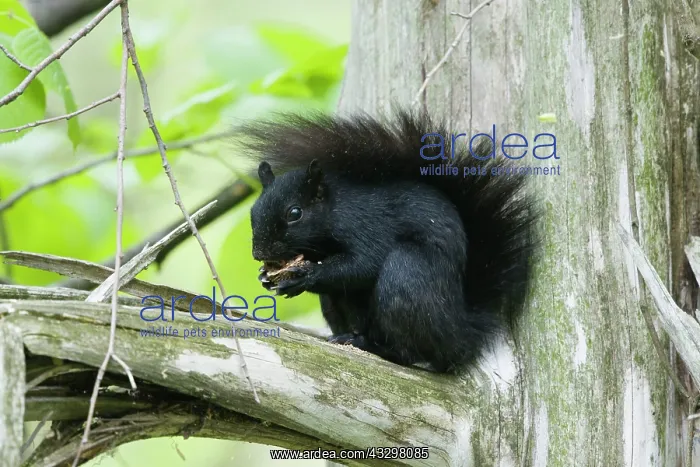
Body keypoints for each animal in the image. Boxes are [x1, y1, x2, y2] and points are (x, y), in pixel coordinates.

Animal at [239, 109, 537, 373]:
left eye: (294, 213)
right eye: (253, 210)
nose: (258, 253)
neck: (333, 212)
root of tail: (462, 334)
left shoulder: (367, 226)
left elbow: (364, 265)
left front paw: (305, 275)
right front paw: (265, 276)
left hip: (407, 274)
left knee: (409, 353)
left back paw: (373, 346)